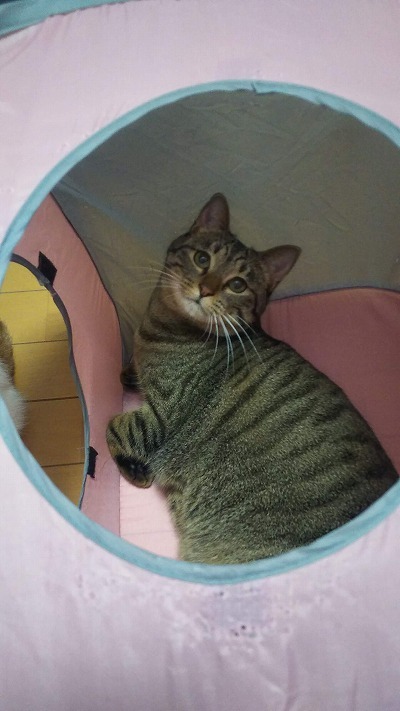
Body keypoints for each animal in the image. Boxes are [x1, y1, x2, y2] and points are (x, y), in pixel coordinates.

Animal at [107, 193, 398, 565]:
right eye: (203, 259)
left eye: (237, 285)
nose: (205, 289)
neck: (162, 327)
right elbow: (126, 379)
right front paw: (130, 373)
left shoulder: (164, 416)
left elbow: (116, 426)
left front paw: (136, 469)